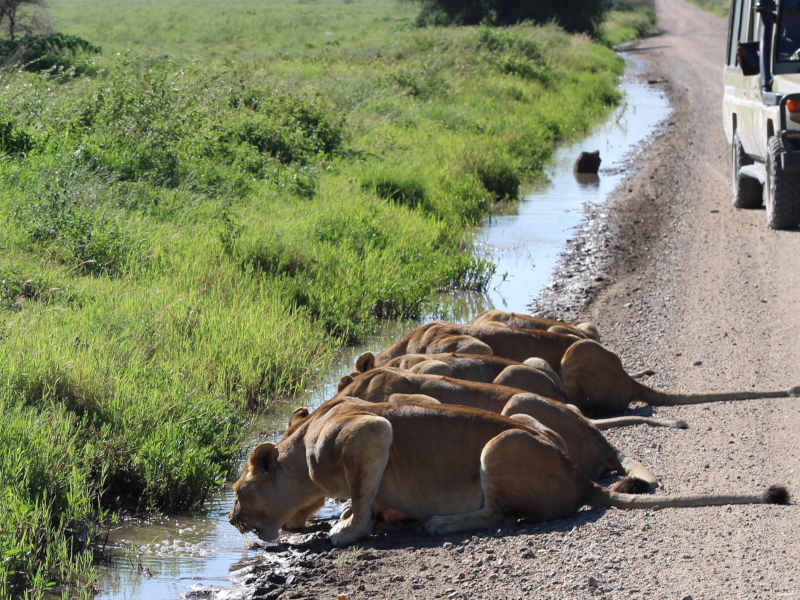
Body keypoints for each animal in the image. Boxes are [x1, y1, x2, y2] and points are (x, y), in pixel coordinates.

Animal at [228, 396, 792, 548]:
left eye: (237, 490)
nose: (231, 521)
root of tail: (580, 477)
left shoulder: (371, 429)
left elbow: (362, 497)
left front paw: (347, 526)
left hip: (498, 446)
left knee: (499, 514)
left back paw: (442, 523)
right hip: (521, 416)